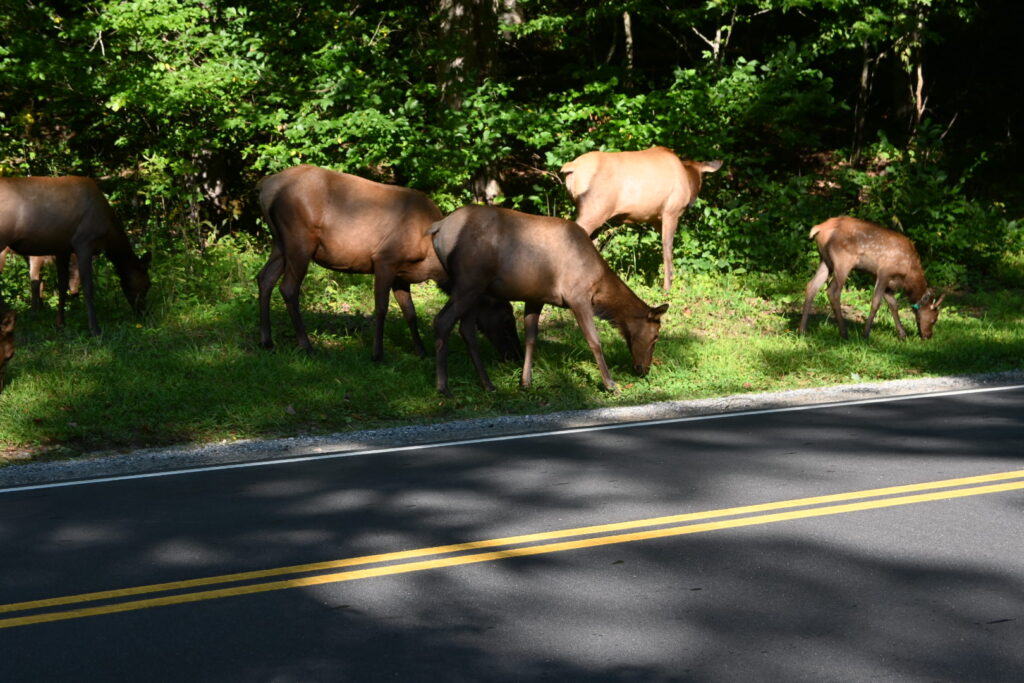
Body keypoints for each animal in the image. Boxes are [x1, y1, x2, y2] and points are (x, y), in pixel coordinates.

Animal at [0, 176, 151, 336]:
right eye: (148, 284)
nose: (144, 312)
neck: (109, 235)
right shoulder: (84, 241)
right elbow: (87, 287)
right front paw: (95, 329)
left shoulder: (62, 250)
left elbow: (63, 285)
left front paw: (60, 324)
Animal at [256, 165, 520, 362]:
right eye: (507, 318)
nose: (514, 356)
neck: (432, 259)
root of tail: (266, 187)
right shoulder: (385, 259)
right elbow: (382, 308)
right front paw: (377, 354)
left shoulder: (402, 274)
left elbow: (410, 312)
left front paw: (421, 351)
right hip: (300, 239)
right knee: (288, 288)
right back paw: (306, 345)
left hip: (280, 242)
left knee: (264, 278)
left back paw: (267, 341)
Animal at [430, 205, 668, 396]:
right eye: (656, 336)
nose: (643, 369)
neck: (600, 287)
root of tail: (438, 228)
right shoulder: (578, 295)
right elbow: (594, 340)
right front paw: (610, 384)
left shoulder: (536, 298)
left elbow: (530, 339)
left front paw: (525, 382)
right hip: (470, 281)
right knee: (443, 321)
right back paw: (443, 387)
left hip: (474, 290)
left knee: (466, 329)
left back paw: (487, 384)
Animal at [560, 146, 722, 292]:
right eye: (701, 177)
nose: (693, 201)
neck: (687, 176)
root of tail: (572, 167)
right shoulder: (671, 212)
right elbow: (667, 249)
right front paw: (667, 288)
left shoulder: (654, 218)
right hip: (594, 210)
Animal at [798, 216, 944, 340]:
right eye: (934, 319)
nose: (928, 336)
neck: (908, 275)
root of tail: (819, 228)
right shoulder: (884, 272)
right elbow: (876, 302)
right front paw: (865, 334)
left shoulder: (884, 280)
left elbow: (893, 304)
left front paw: (902, 335)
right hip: (843, 260)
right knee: (832, 291)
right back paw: (844, 333)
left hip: (825, 260)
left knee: (811, 286)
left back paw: (802, 330)